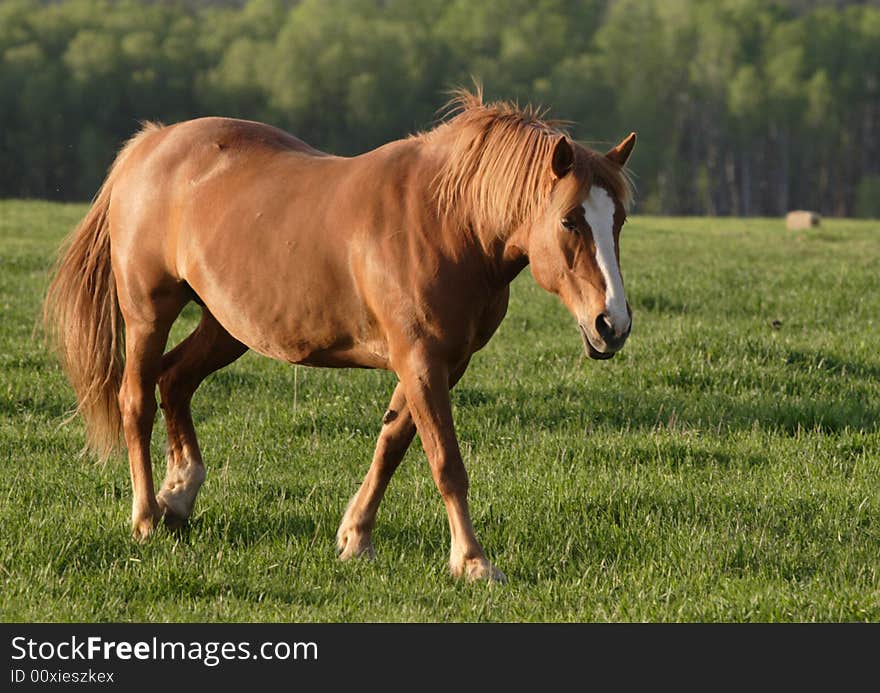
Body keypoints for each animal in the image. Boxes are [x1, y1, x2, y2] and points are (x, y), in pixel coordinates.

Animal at [43, 89, 632, 580]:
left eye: (619, 220)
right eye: (570, 220)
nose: (612, 323)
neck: (447, 221)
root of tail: (151, 143)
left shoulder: (439, 362)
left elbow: (392, 445)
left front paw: (356, 537)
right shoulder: (420, 359)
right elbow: (446, 463)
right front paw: (472, 561)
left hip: (227, 325)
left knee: (175, 382)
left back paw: (179, 495)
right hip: (148, 313)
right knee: (137, 400)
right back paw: (145, 516)